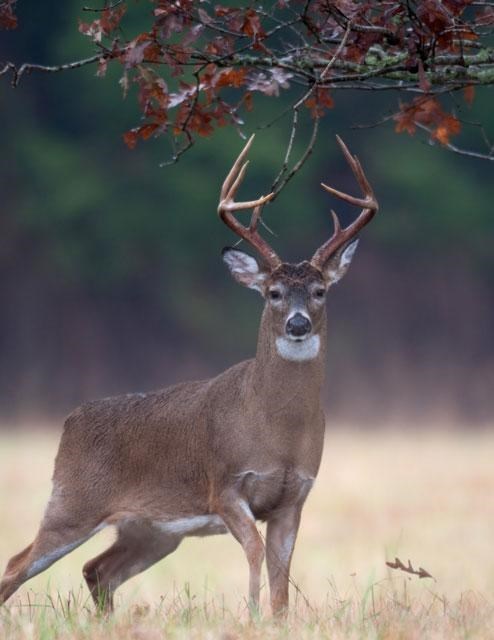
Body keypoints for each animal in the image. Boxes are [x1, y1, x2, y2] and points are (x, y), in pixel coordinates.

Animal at [0, 134, 378, 616]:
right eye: (273, 292)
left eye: (320, 291)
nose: (298, 324)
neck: (277, 429)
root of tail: (70, 421)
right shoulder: (226, 485)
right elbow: (255, 553)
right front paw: (250, 615)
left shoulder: (294, 497)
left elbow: (282, 577)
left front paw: (276, 619)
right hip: (72, 502)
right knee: (16, 565)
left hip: (152, 529)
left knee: (97, 570)